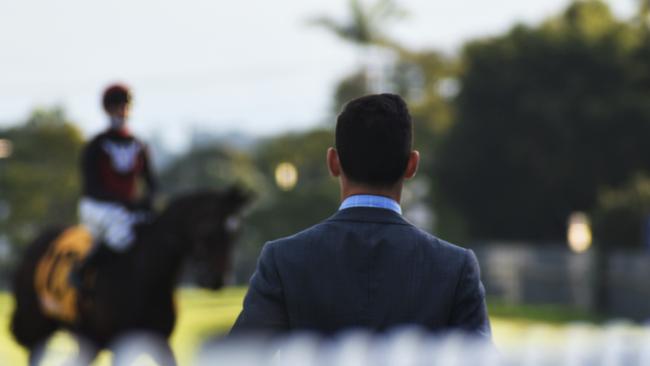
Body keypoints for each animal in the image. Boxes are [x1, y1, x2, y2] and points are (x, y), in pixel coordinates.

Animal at [8, 187, 249, 364]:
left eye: (236, 234)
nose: (218, 280)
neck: (145, 276)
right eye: (208, 231)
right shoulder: (120, 344)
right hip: (37, 328)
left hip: (86, 336)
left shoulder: (157, 340)